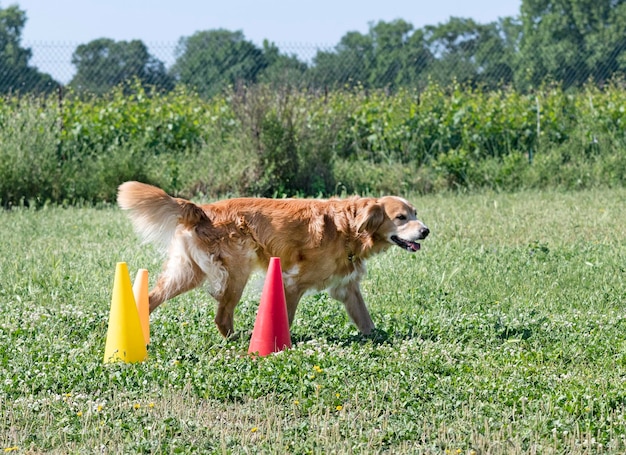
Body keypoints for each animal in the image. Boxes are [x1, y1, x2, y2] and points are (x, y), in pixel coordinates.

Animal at [116, 182, 428, 338]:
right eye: (401, 217)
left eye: (415, 213)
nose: (425, 230)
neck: (349, 228)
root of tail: (202, 210)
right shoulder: (292, 283)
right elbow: (285, 318)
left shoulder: (347, 287)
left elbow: (366, 321)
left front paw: (377, 338)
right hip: (236, 273)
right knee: (222, 316)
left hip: (187, 273)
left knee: (152, 298)